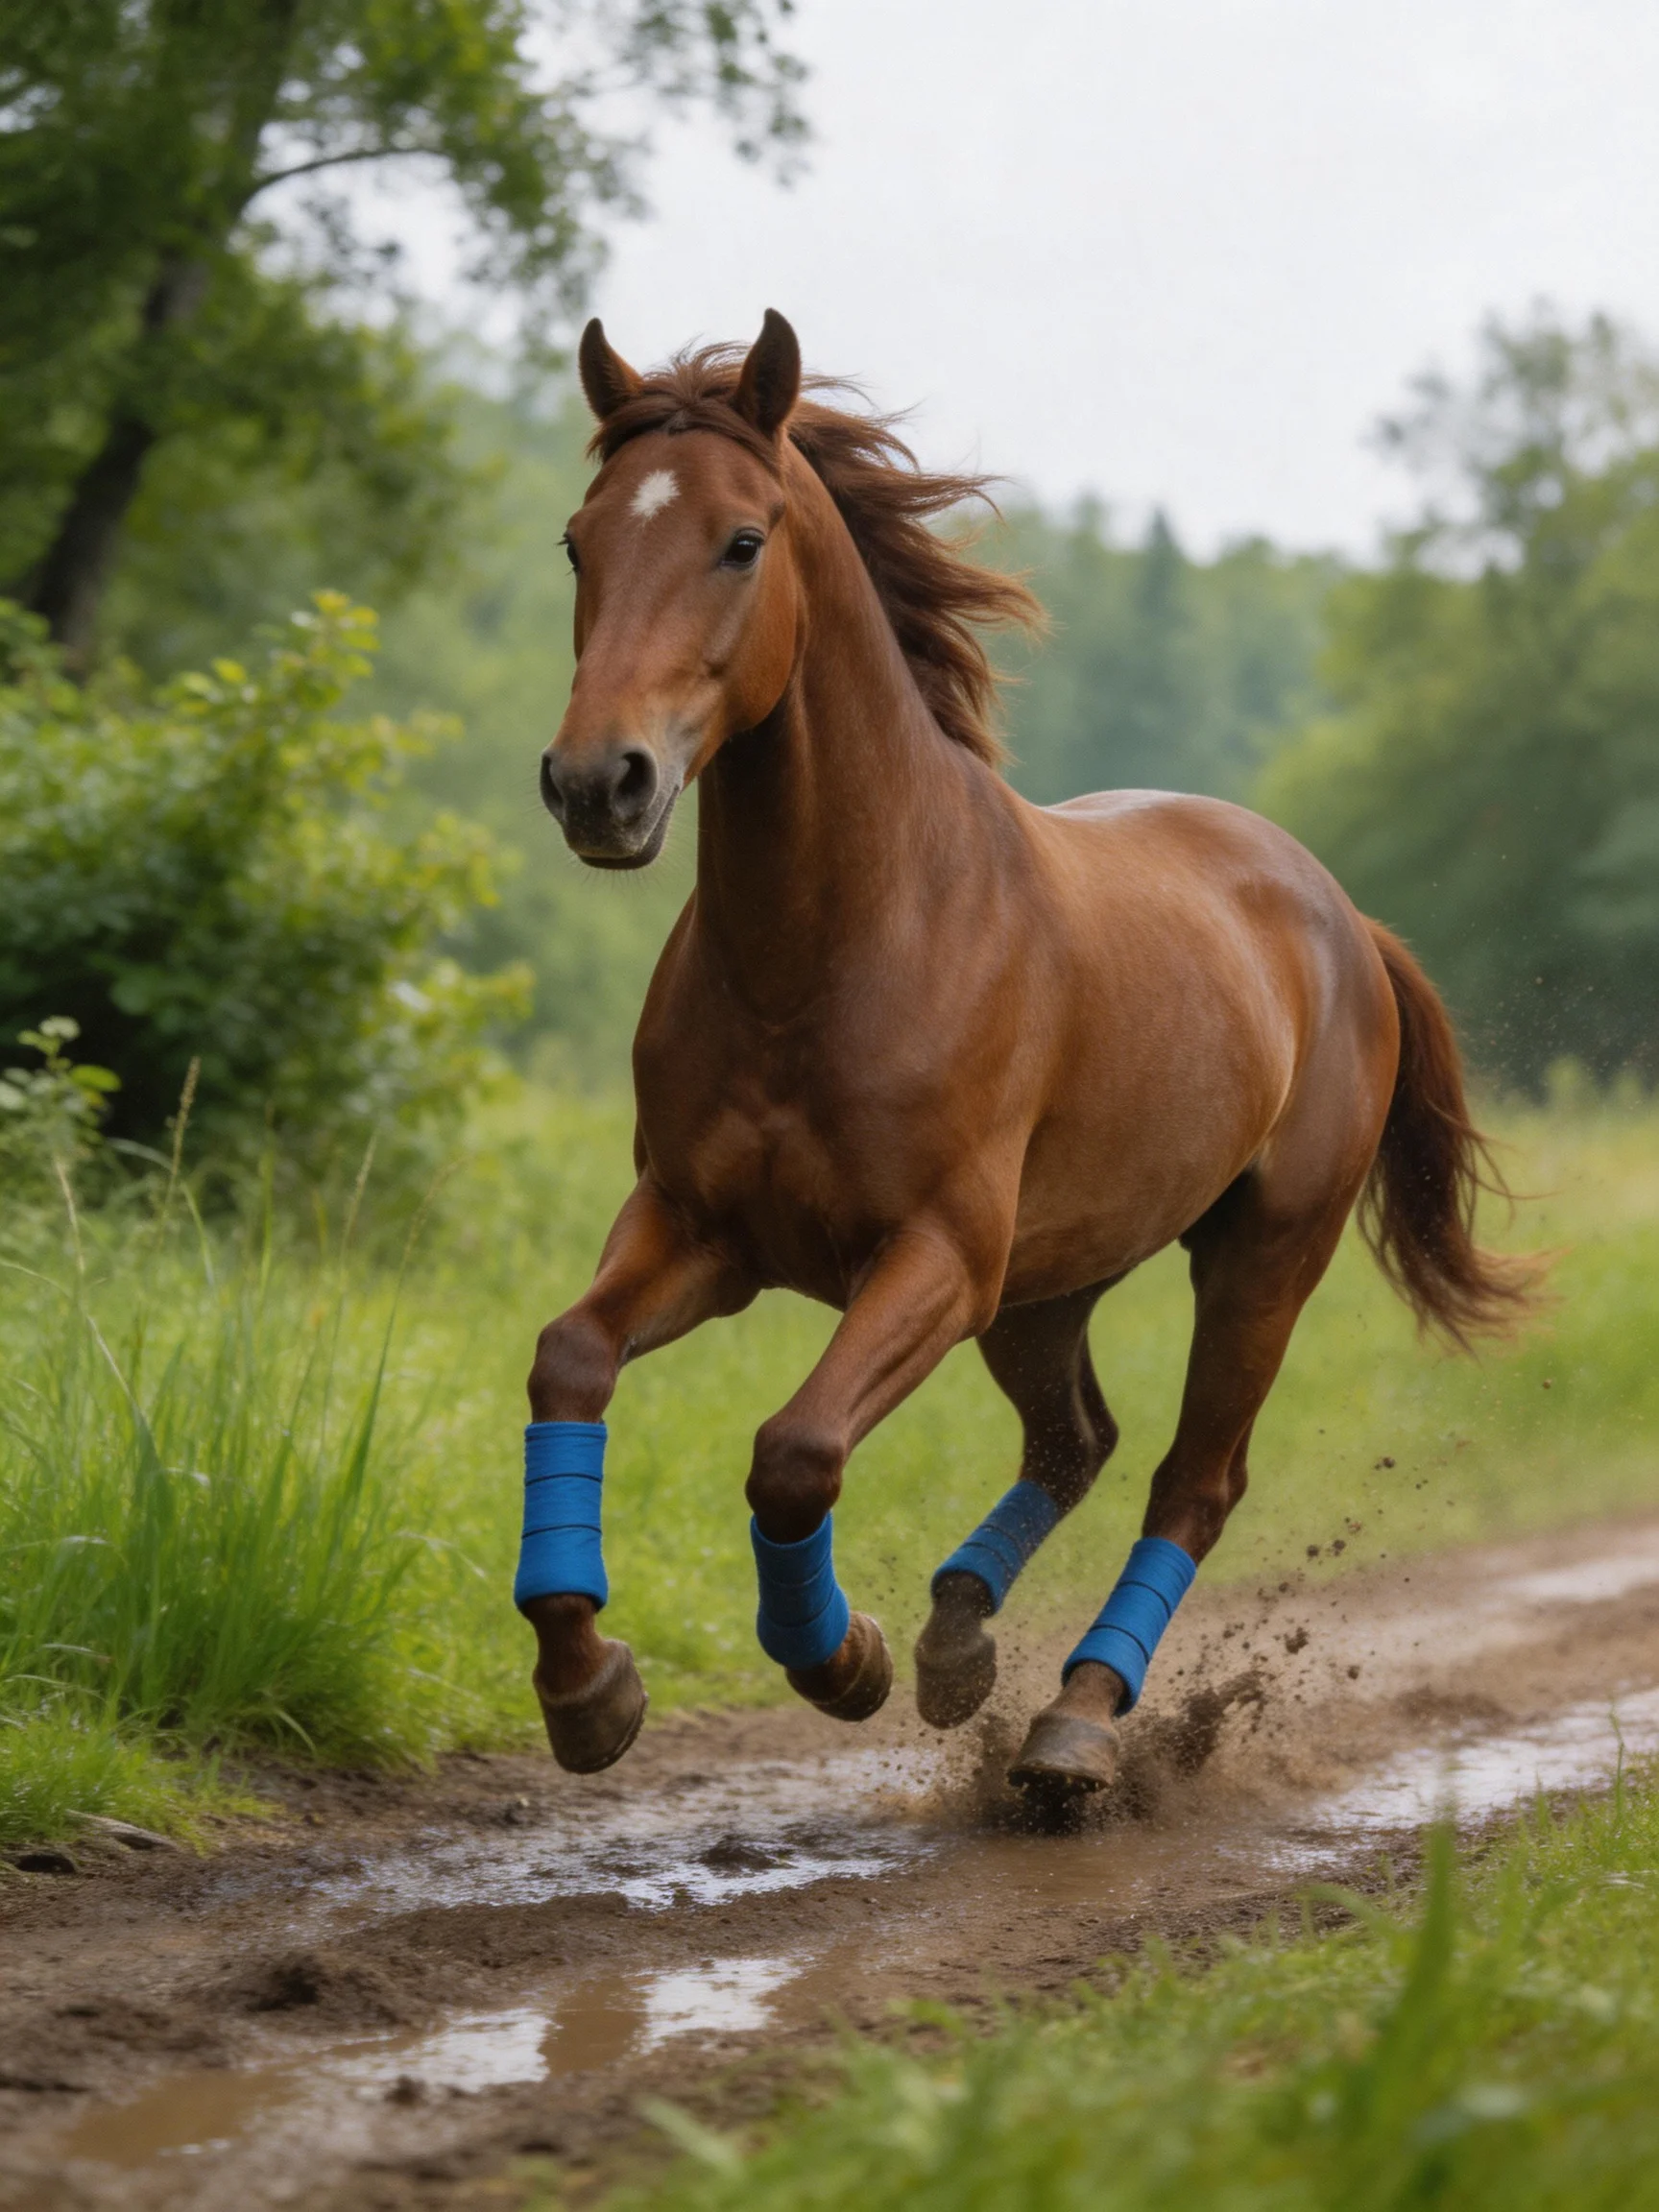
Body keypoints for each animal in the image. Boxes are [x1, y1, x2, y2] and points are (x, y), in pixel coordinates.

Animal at [515, 309, 1533, 1798]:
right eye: (579, 543)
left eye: (741, 541)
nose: (599, 785)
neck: (834, 948)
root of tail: (1343, 918)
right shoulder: (701, 1227)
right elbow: (570, 1359)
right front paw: (588, 1684)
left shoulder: (936, 1254)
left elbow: (796, 1450)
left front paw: (844, 1659)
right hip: (1052, 1283)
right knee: (1076, 1440)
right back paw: (961, 1639)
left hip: (1256, 1257)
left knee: (1190, 1480)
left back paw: (1072, 1721)